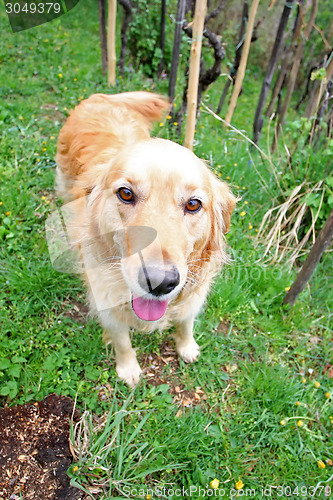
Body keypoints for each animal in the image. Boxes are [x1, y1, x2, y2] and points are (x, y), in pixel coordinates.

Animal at [55, 91, 236, 386]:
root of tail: (101, 96)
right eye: (126, 194)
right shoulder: (105, 298)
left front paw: (187, 346)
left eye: (193, 204)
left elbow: (186, 321)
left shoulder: (194, 290)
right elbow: (122, 340)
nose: (160, 282)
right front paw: (128, 368)